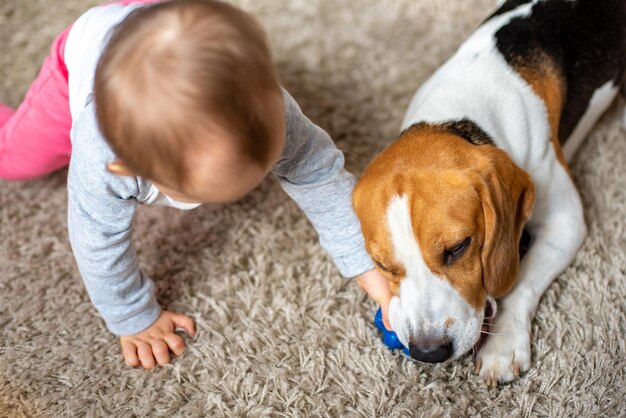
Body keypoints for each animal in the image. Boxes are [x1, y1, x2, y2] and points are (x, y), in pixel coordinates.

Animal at [354, 0, 620, 386]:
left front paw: (503, 344)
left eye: (458, 247)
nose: (429, 352)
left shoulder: (565, 224)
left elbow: (521, 281)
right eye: (382, 265)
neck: (457, 116)